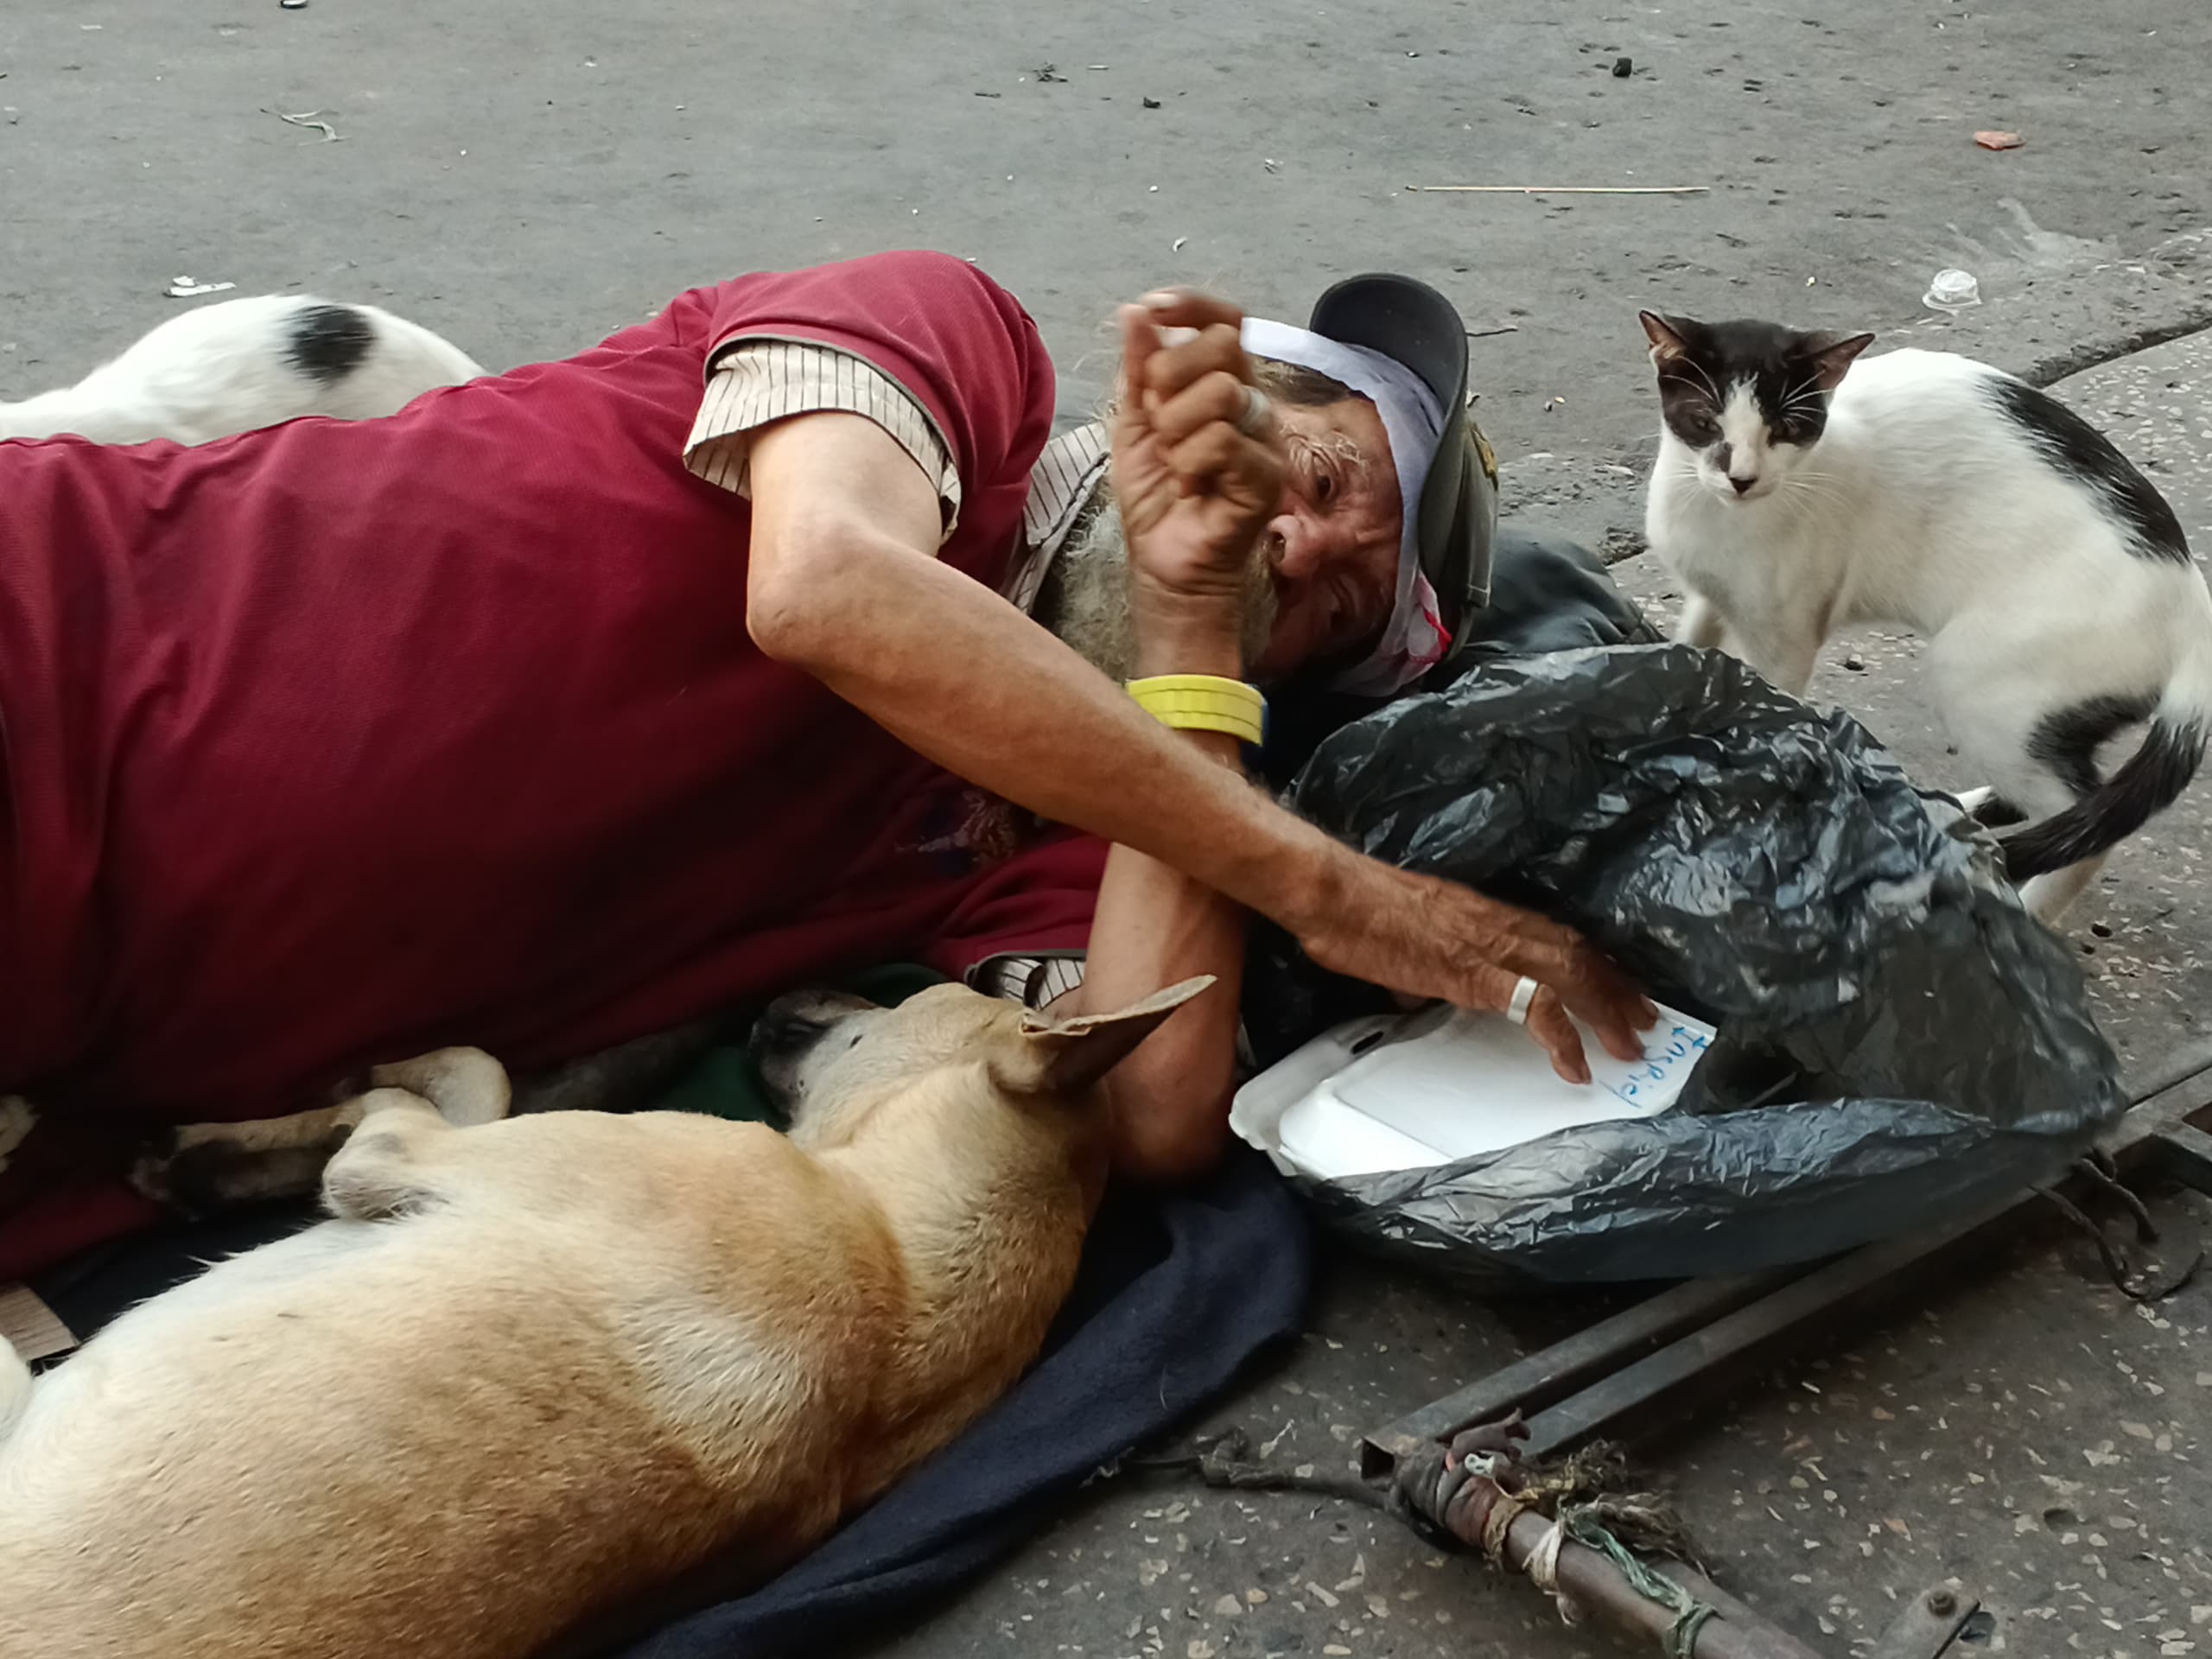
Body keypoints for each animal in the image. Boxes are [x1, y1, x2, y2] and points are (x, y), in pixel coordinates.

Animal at [0, 982, 1211, 1654]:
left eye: (912, 996)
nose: (802, 980)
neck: (896, 1269)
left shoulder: (407, 1157)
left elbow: (447, 1079)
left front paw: (231, 1146)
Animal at [1645, 314, 2212, 925]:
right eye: (1705, 422)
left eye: (1786, 427)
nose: (1743, 478)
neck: (1713, 512)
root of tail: (2194, 615)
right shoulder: (1708, 597)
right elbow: (1695, 643)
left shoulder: (1787, 636)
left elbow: (1774, 704)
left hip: (1980, 681)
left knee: (2087, 823)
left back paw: (2031, 907)